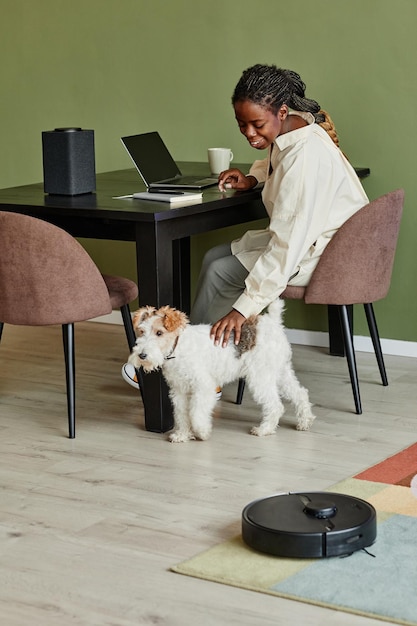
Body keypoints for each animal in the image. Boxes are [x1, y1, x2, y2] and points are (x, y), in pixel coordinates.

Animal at [128, 300, 314, 442]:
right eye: (142, 331)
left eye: (159, 332)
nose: (142, 355)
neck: (177, 348)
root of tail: (272, 322)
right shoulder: (179, 390)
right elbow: (181, 414)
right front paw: (182, 435)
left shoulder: (203, 387)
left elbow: (195, 413)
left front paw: (202, 432)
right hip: (280, 372)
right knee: (300, 393)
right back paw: (305, 422)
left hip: (260, 377)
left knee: (276, 405)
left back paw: (264, 429)